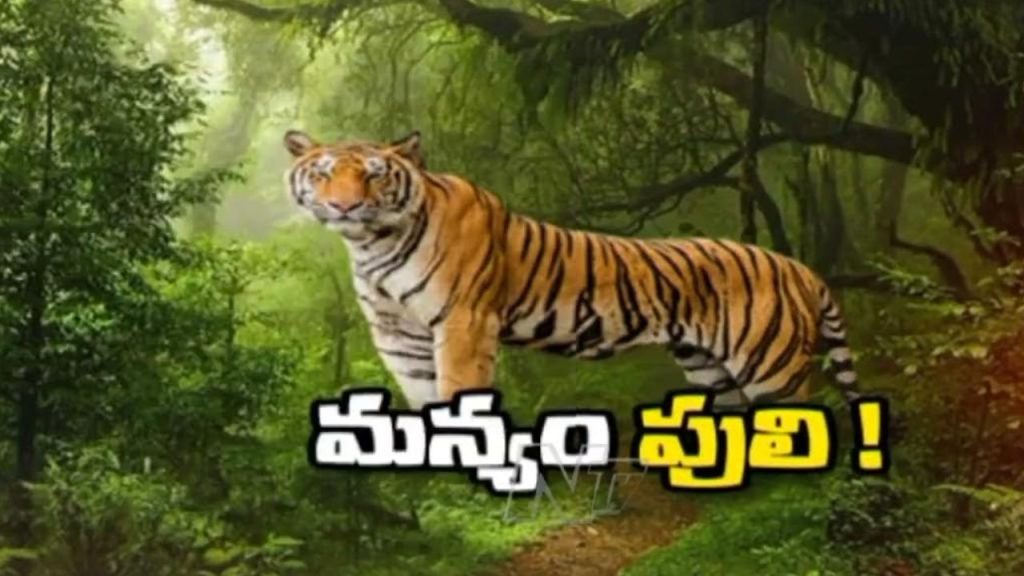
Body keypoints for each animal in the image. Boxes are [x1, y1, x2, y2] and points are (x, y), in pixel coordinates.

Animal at [283, 129, 860, 410]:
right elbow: (421, 391)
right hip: (708, 366)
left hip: (770, 365)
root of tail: (798, 266)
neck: (372, 245)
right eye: (324, 173)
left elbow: (457, 389)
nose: (343, 207)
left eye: (375, 175)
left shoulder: (465, 321)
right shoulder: (396, 332)